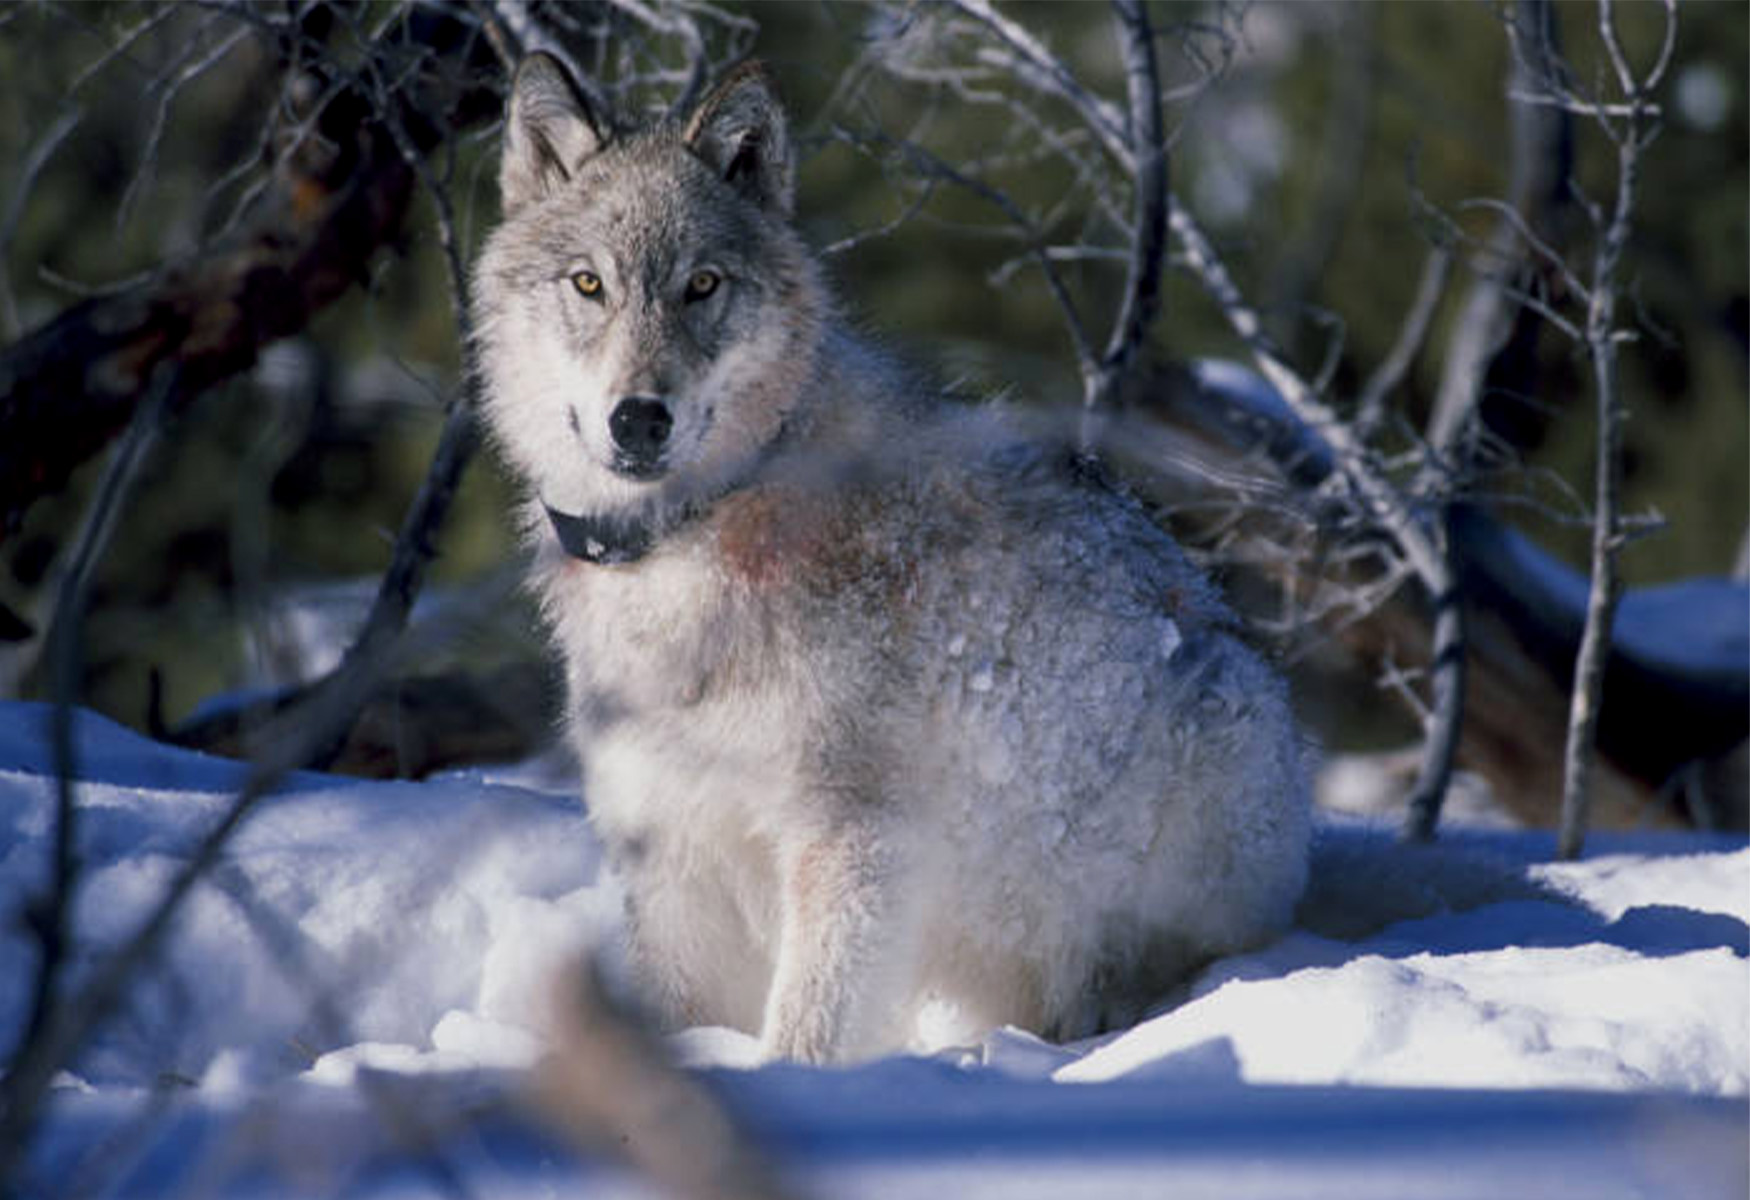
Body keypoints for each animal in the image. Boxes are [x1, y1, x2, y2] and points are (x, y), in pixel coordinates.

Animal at [472, 51, 1309, 1070]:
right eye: (589, 284)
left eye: (702, 285)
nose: (639, 418)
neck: (694, 533)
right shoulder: (670, 849)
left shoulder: (854, 842)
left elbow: (807, 1031)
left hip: (1208, 742)